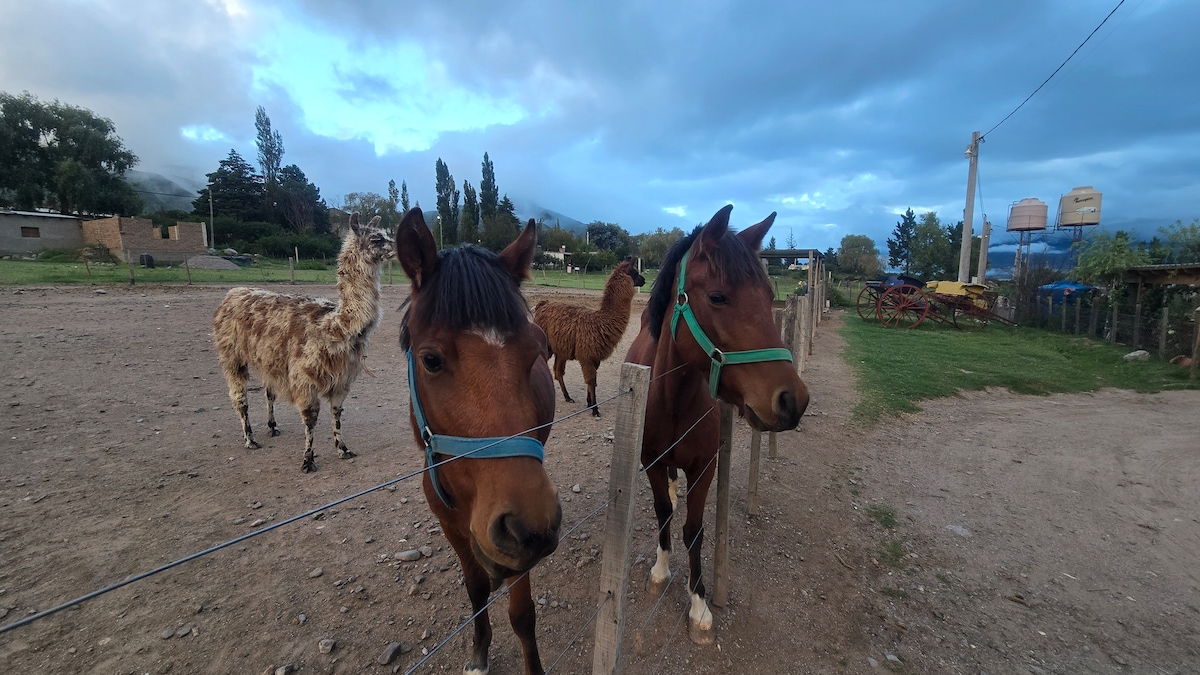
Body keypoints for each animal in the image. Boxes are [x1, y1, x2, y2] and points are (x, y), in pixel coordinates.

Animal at [396, 206, 559, 672]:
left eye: (536, 351)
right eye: (430, 360)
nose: (534, 524)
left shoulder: (520, 547)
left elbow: (522, 614)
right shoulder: (452, 529)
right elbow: (476, 591)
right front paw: (479, 651)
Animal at [628, 204, 806, 638]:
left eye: (769, 297)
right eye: (717, 297)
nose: (792, 399)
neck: (672, 397)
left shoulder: (705, 467)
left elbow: (694, 531)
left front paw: (699, 604)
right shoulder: (650, 461)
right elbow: (663, 512)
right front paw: (661, 570)